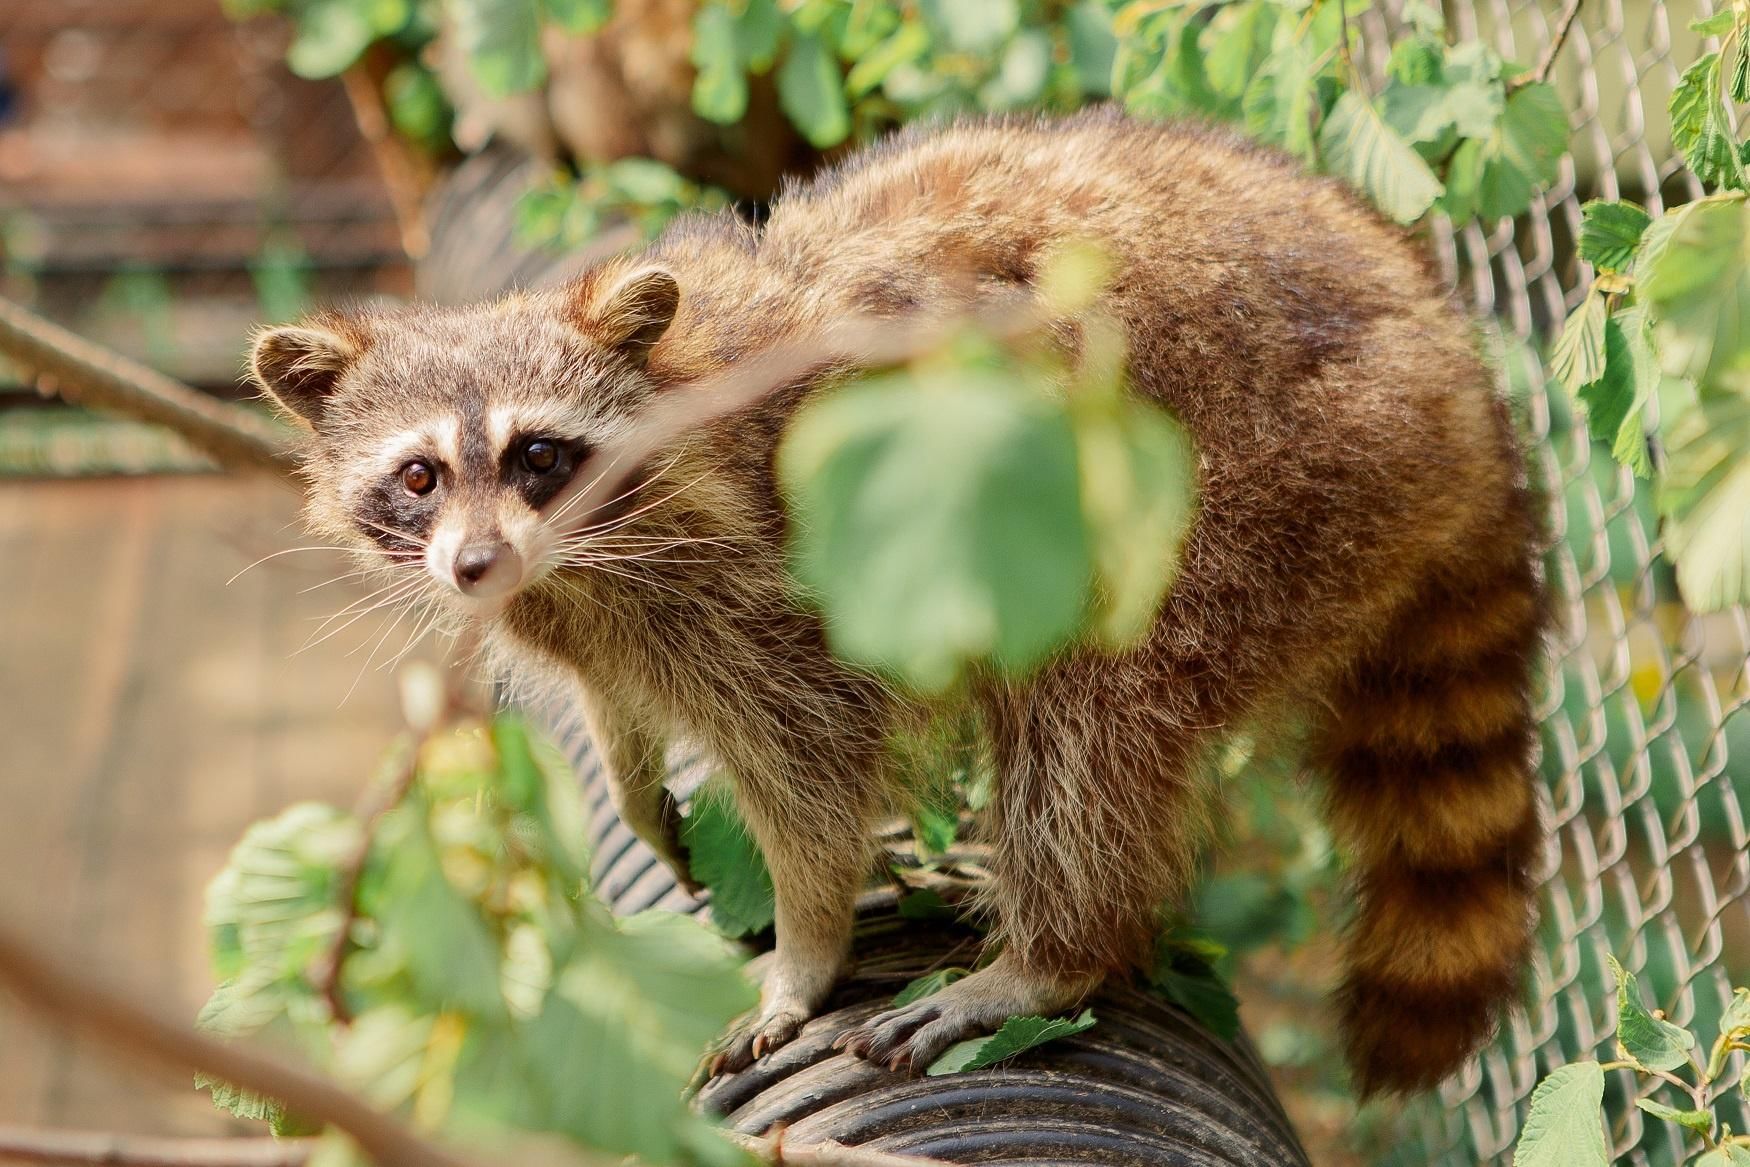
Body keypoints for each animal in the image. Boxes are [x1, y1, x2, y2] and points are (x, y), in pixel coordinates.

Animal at [255, 109, 1547, 1098]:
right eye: (419, 476)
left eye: (537, 456)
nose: (476, 567)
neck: (586, 551)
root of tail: (1459, 377)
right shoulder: (587, 606)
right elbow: (612, 693)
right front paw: (630, 775)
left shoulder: (768, 583)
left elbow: (813, 776)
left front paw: (807, 948)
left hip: (1270, 476)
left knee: (1093, 713)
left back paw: (1053, 953)